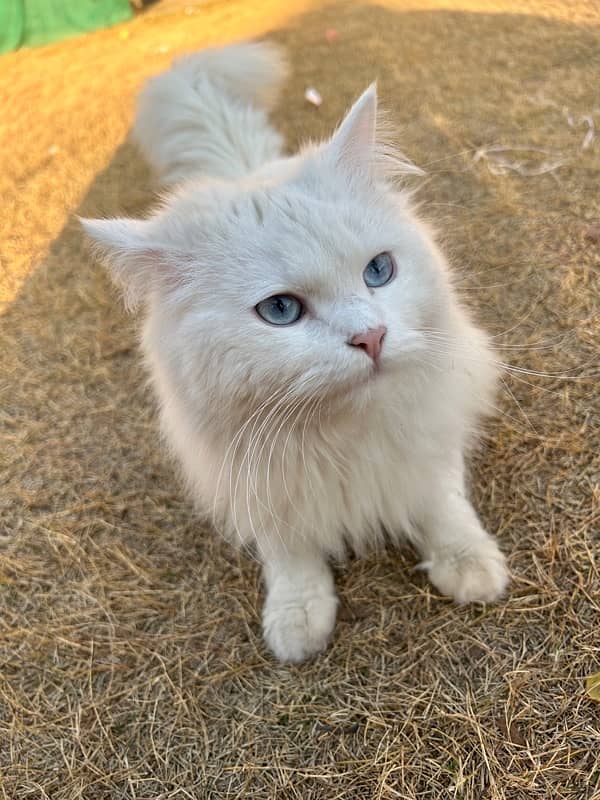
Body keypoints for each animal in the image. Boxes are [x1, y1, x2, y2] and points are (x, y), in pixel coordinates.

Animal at [82, 42, 508, 664]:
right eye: (280, 310)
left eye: (379, 271)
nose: (371, 337)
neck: (342, 434)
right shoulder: (254, 480)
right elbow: (289, 551)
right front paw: (298, 618)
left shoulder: (431, 428)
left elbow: (440, 498)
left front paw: (469, 564)